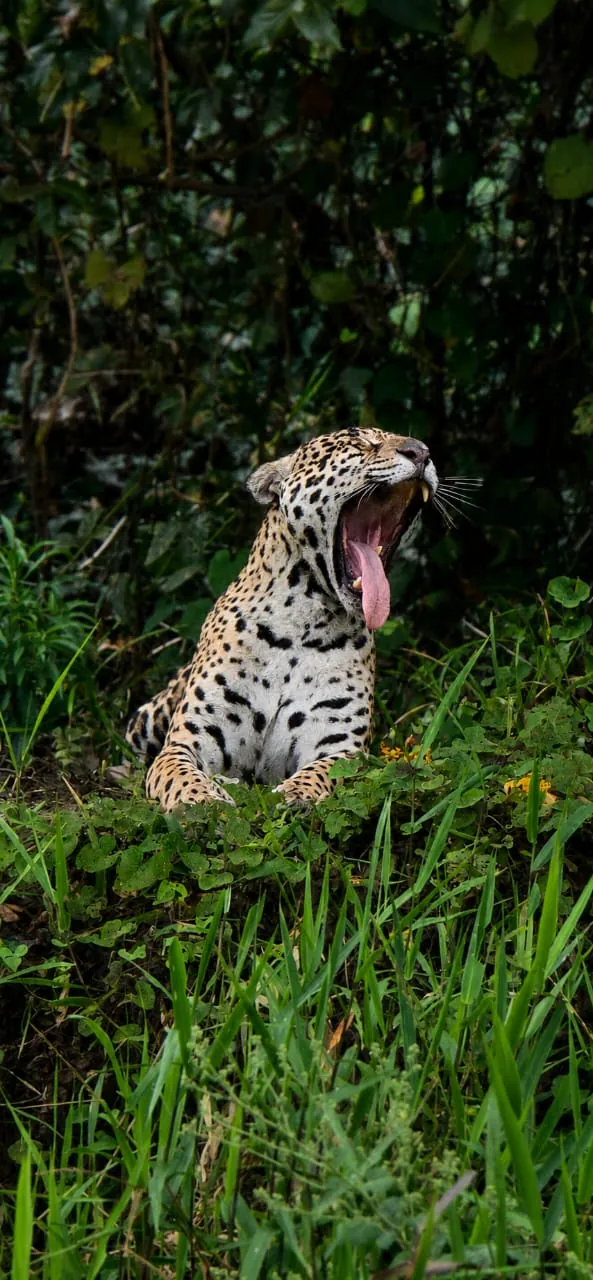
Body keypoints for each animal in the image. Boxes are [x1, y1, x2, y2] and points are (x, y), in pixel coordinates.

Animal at [126, 426, 438, 811]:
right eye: (360, 442)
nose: (421, 452)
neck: (300, 624)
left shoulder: (341, 747)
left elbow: (323, 773)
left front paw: (296, 795)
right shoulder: (185, 740)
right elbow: (178, 773)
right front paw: (202, 800)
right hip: (147, 720)